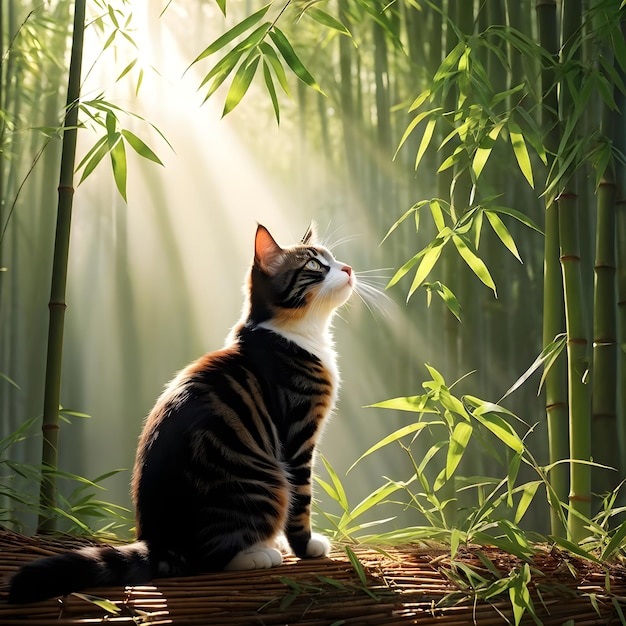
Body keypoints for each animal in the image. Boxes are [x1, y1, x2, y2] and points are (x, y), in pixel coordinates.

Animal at [7, 223, 354, 600]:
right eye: (316, 265)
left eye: (334, 259)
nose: (348, 269)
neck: (295, 333)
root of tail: (161, 541)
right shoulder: (298, 434)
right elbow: (301, 500)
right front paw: (306, 547)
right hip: (266, 482)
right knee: (211, 557)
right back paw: (257, 554)